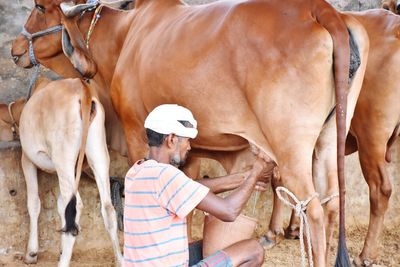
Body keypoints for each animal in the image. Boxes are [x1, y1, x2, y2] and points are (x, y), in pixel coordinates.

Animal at [10, 1, 370, 266]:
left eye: (39, 6)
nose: (14, 47)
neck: (125, 36)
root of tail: (322, 10)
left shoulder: (136, 131)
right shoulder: (191, 150)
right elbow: (193, 206)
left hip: (292, 146)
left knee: (315, 212)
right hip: (327, 140)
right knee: (333, 203)